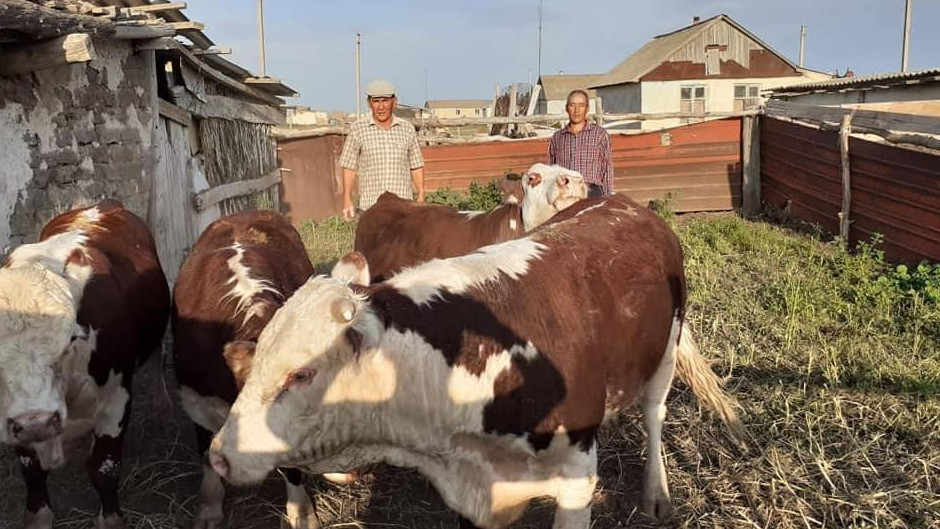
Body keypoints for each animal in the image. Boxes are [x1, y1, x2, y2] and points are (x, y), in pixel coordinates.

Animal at [0, 199, 169, 528]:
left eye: (70, 338)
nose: (38, 422)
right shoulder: (15, 415)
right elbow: (33, 475)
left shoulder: (117, 398)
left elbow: (104, 469)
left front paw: (112, 519)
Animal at [207, 194, 740, 528]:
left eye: (302, 373)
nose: (218, 454)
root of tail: (627, 205)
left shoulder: (575, 483)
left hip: (664, 352)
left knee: (654, 416)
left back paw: (657, 493)